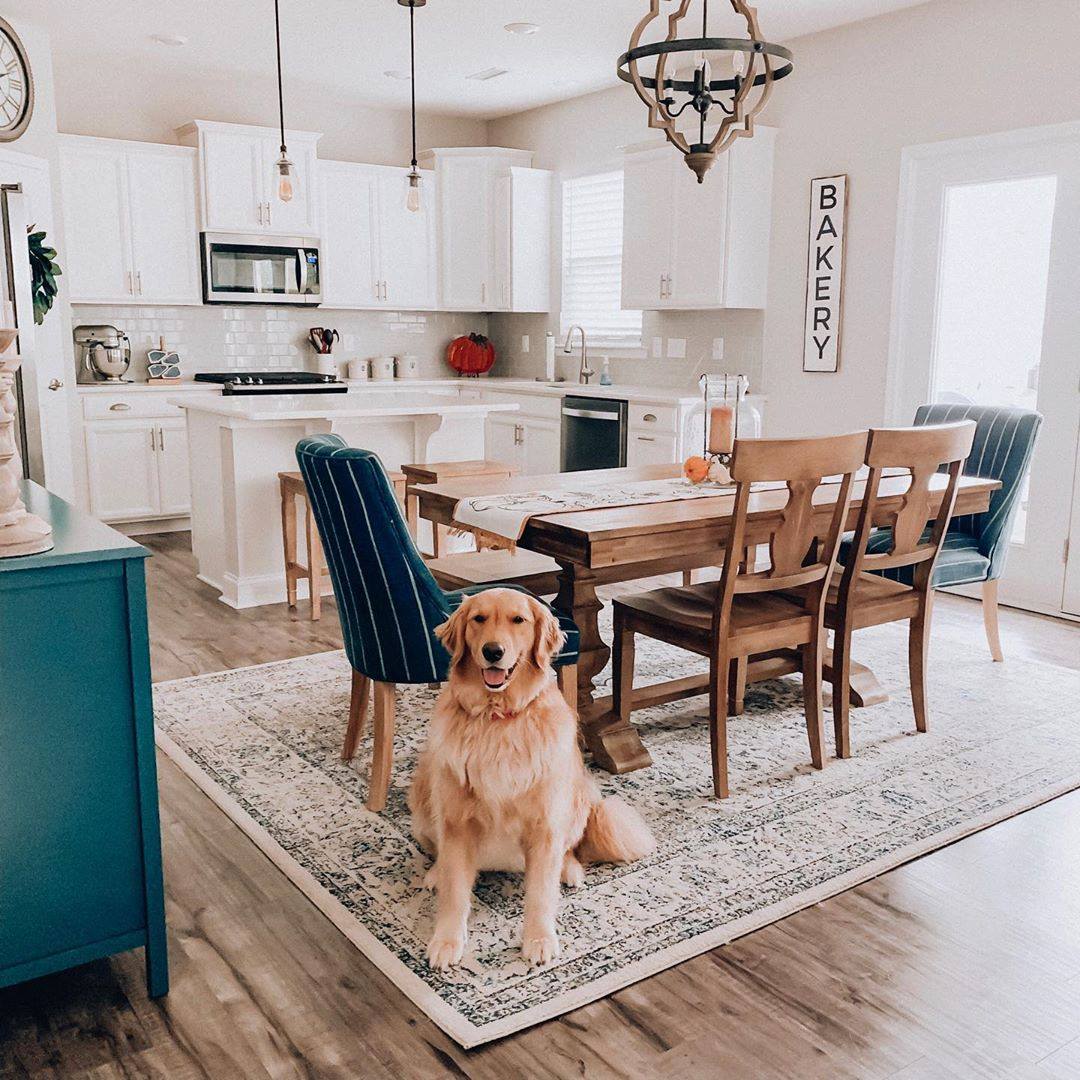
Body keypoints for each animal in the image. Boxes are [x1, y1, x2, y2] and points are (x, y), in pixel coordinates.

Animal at [408, 591, 652, 972]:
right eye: (478, 619)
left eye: (518, 620)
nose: (493, 651)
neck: (497, 718)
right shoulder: (457, 822)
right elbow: (455, 893)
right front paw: (447, 942)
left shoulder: (545, 825)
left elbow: (539, 894)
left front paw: (538, 940)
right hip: (422, 800)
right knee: (441, 858)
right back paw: (435, 872)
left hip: (578, 798)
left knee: (568, 850)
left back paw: (569, 870)